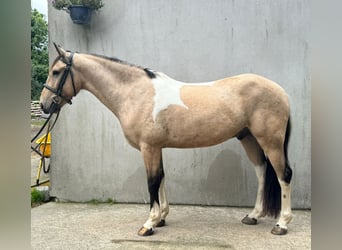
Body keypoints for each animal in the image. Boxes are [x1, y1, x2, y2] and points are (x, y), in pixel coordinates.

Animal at [39, 43, 292, 236]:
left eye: (57, 71)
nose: (44, 105)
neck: (136, 93)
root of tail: (281, 91)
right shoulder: (156, 147)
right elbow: (160, 178)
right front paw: (161, 218)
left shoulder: (148, 147)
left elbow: (152, 181)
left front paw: (149, 224)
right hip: (249, 138)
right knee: (262, 172)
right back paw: (253, 216)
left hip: (270, 141)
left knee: (283, 175)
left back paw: (281, 224)